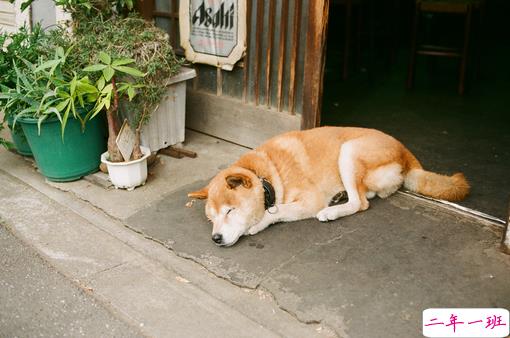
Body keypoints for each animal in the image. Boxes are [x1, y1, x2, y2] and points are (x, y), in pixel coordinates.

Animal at [190, 126, 470, 246]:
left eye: (229, 211)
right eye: (211, 219)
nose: (215, 238)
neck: (265, 175)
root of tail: (403, 149)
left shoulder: (309, 200)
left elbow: (276, 212)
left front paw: (258, 224)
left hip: (349, 151)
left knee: (360, 203)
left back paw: (332, 211)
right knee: (366, 194)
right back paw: (340, 196)